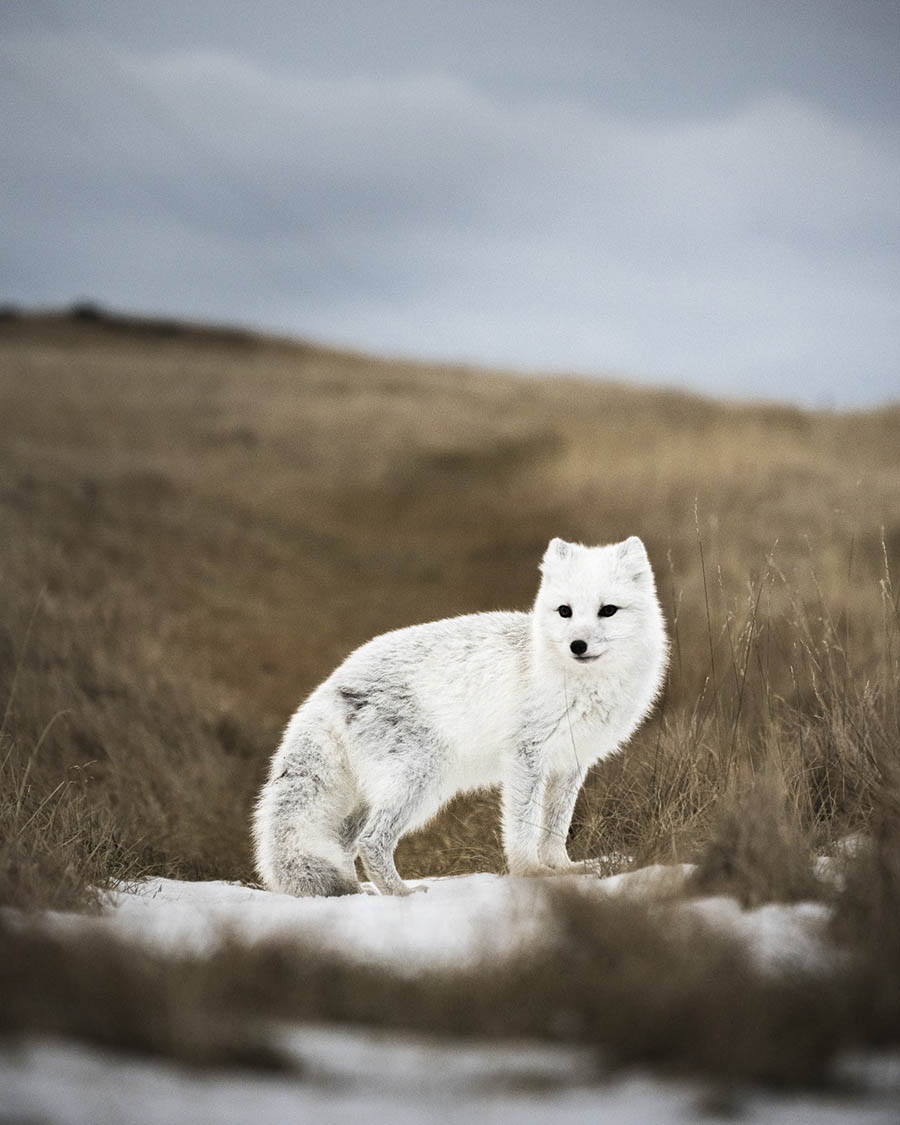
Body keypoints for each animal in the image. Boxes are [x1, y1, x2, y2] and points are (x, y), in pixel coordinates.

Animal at [253, 535, 666, 895]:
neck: (580, 684)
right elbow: (523, 826)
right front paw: (531, 873)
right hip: (421, 781)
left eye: (607, 610)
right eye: (565, 611)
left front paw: (564, 869)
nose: (576, 645)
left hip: (372, 798)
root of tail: (331, 684)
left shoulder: (569, 763)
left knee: (350, 844)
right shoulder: (526, 756)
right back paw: (401, 893)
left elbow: (555, 829)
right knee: (372, 842)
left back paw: (361, 892)